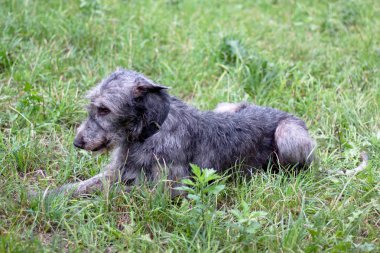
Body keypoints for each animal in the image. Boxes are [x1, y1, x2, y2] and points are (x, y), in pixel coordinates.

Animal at [53, 69, 316, 198]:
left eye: (105, 109)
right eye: (92, 104)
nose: (77, 142)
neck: (150, 132)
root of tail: (285, 113)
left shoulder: (168, 190)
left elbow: (116, 191)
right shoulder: (117, 171)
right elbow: (83, 185)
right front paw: (48, 196)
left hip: (287, 133)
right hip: (226, 106)